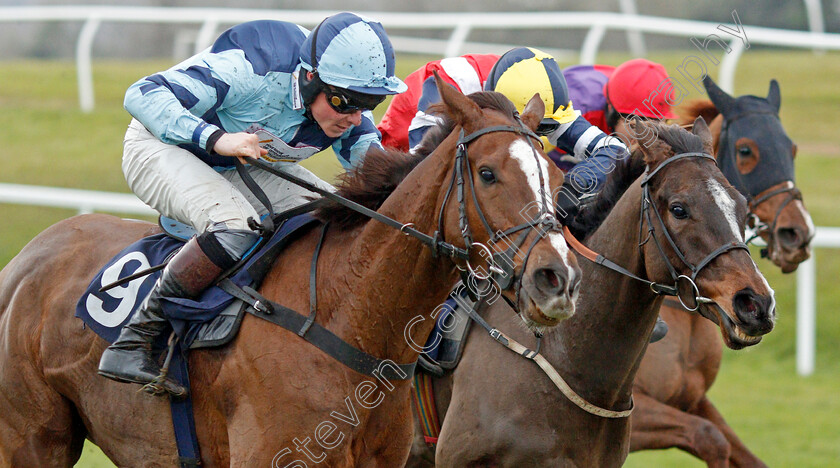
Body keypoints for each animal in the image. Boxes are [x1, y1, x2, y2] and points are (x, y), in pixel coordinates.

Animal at [0, 78, 576, 466]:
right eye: (488, 174)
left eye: (553, 175)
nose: (558, 279)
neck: (351, 312)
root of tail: (27, 258)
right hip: (33, 440)